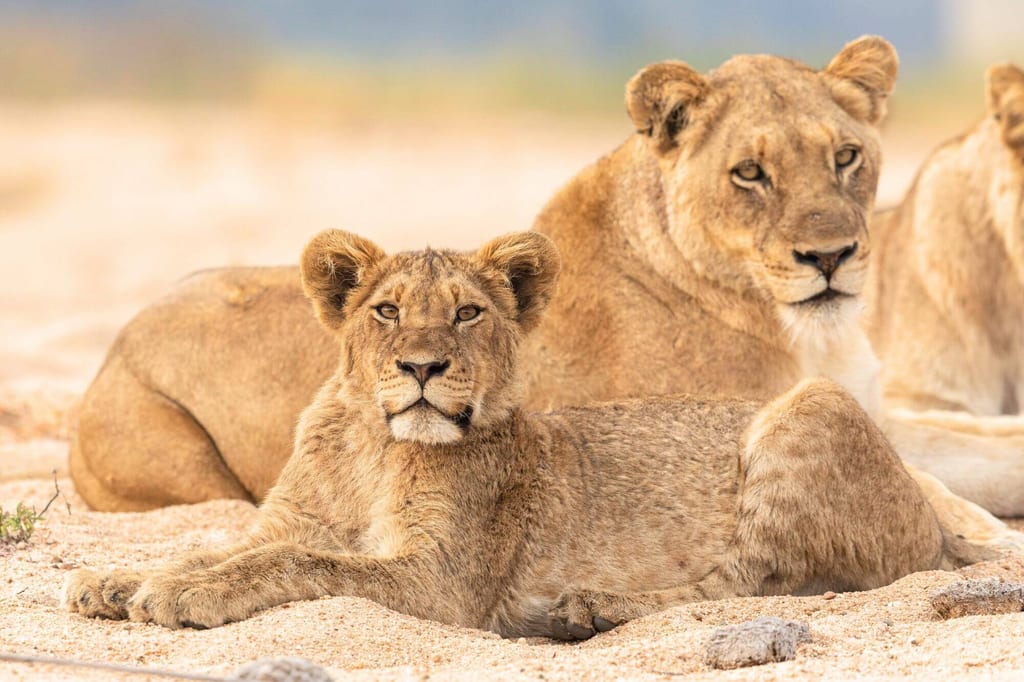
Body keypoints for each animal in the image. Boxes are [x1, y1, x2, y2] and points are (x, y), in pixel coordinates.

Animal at [64, 229, 989, 636]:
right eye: (386, 311)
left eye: (468, 312)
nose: (423, 367)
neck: (371, 447)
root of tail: (928, 510)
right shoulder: (287, 520)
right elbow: (222, 544)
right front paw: (121, 578)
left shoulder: (441, 583)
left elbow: (301, 565)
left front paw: (181, 595)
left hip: (809, 404)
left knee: (757, 582)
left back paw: (587, 610)